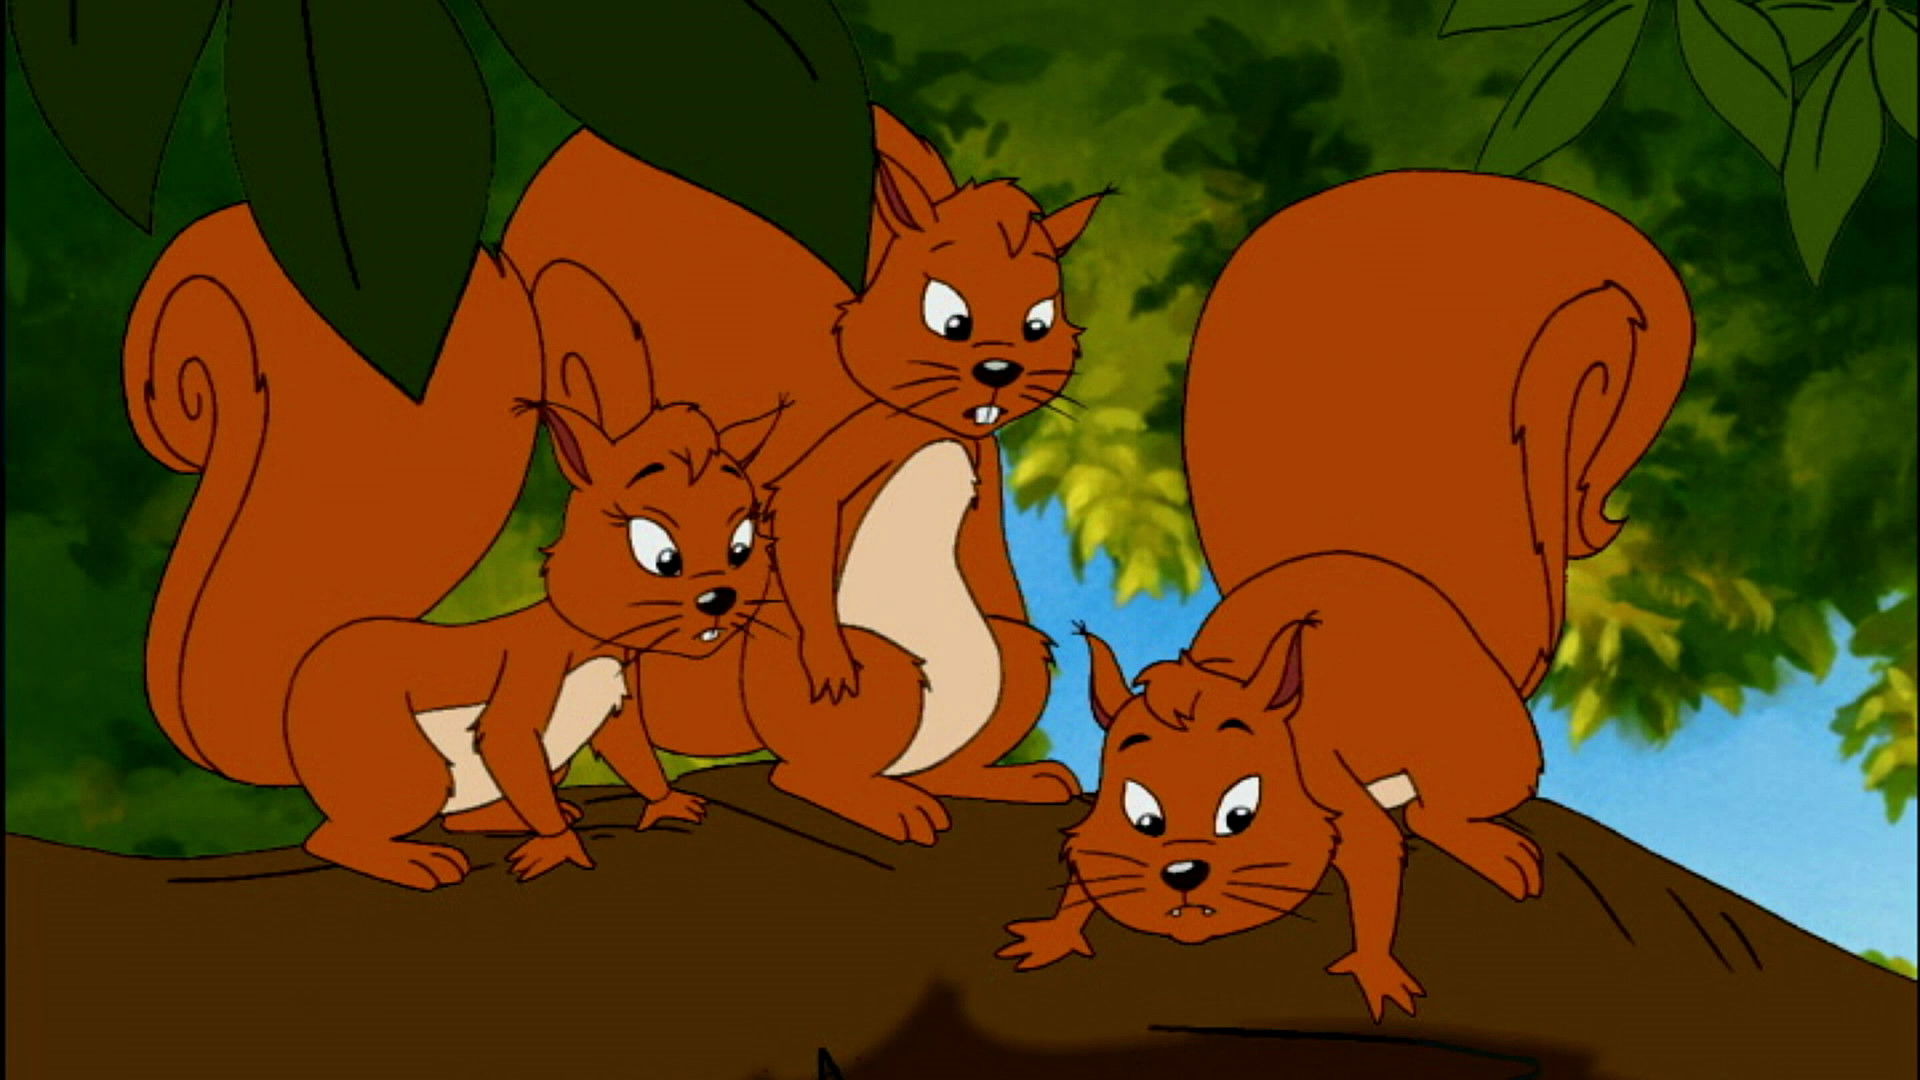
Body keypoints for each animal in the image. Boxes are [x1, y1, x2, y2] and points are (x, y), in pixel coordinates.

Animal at [124, 207, 777, 889]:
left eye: (742, 544)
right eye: (658, 554)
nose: (719, 599)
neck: (590, 642)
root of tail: (295, 725)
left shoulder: (617, 706)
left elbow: (634, 756)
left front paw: (665, 802)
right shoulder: (525, 683)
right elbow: (509, 742)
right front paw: (557, 845)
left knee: (470, 813)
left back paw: (511, 818)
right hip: (404, 766)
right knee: (334, 838)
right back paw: (413, 859)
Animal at [502, 106, 1108, 845]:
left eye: (1040, 321)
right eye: (947, 316)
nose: (999, 370)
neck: (933, 424)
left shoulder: (980, 464)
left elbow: (990, 556)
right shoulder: (853, 443)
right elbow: (805, 510)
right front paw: (828, 658)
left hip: (1012, 665)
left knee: (974, 713)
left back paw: (996, 781)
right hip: (887, 676)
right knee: (800, 773)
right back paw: (877, 799)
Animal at [996, 171, 1694, 1021]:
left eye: (1242, 813)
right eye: (1140, 815)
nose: (1183, 874)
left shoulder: (1327, 778)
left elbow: (1374, 849)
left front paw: (1374, 967)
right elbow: (1086, 867)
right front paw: (1059, 930)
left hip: (1486, 743)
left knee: (1439, 806)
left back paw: (1483, 840)